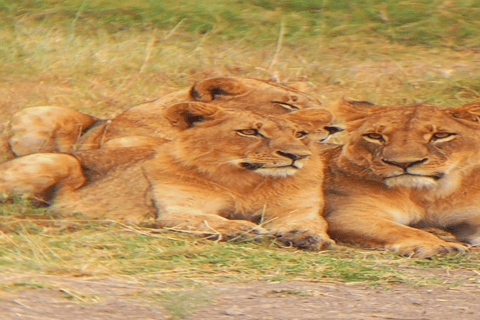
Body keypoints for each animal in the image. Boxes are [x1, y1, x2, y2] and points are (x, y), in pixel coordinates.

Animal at [0, 102, 340, 250]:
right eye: (250, 132)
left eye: (299, 134)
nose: (297, 156)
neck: (247, 181)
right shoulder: (178, 209)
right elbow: (208, 219)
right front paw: (241, 229)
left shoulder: (297, 209)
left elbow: (310, 224)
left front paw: (308, 237)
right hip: (58, 160)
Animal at [320, 97, 480, 258]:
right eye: (375, 136)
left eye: (441, 135)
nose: (404, 163)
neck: (424, 195)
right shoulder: (347, 214)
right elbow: (404, 231)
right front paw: (440, 245)